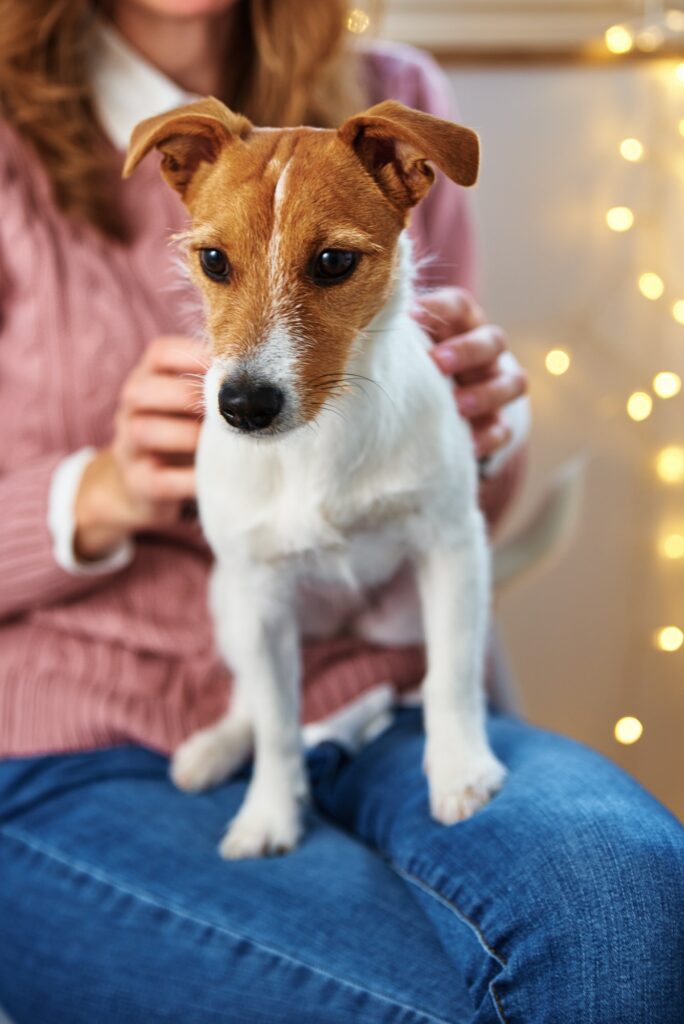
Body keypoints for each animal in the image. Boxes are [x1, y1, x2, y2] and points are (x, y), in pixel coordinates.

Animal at [124, 96, 507, 856]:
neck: (315, 444)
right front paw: (270, 814)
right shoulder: (261, 599)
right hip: (230, 601)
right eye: (213, 260)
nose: (243, 405)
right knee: (249, 695)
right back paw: (215, 747)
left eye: (333, 261)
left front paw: (459, 771)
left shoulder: (451, 549)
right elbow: (277, 725)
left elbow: (451, 675)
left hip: (402, 614)